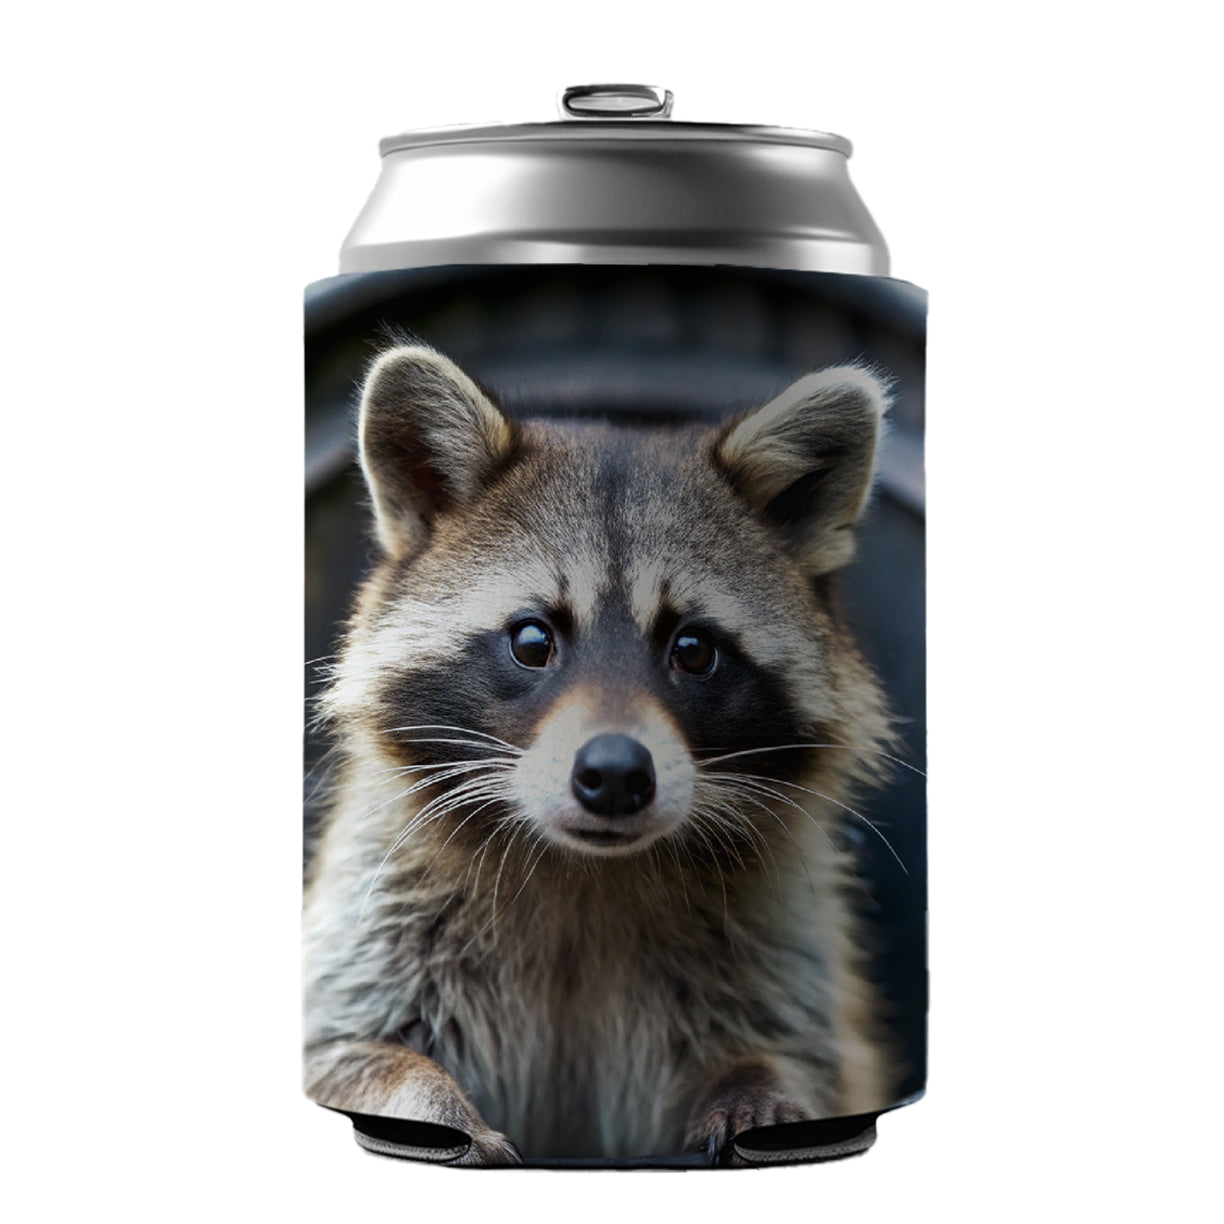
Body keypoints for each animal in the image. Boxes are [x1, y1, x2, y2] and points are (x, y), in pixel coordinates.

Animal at [303, 344, 897, 1164]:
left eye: (693, 649)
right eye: (532, 640)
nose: (615, 775)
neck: (586, 872)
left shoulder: (784, 958)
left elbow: (793, 1058)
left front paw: (763, 1094)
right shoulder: (376, 919)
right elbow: (348, 1052)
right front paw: (424, 1098)